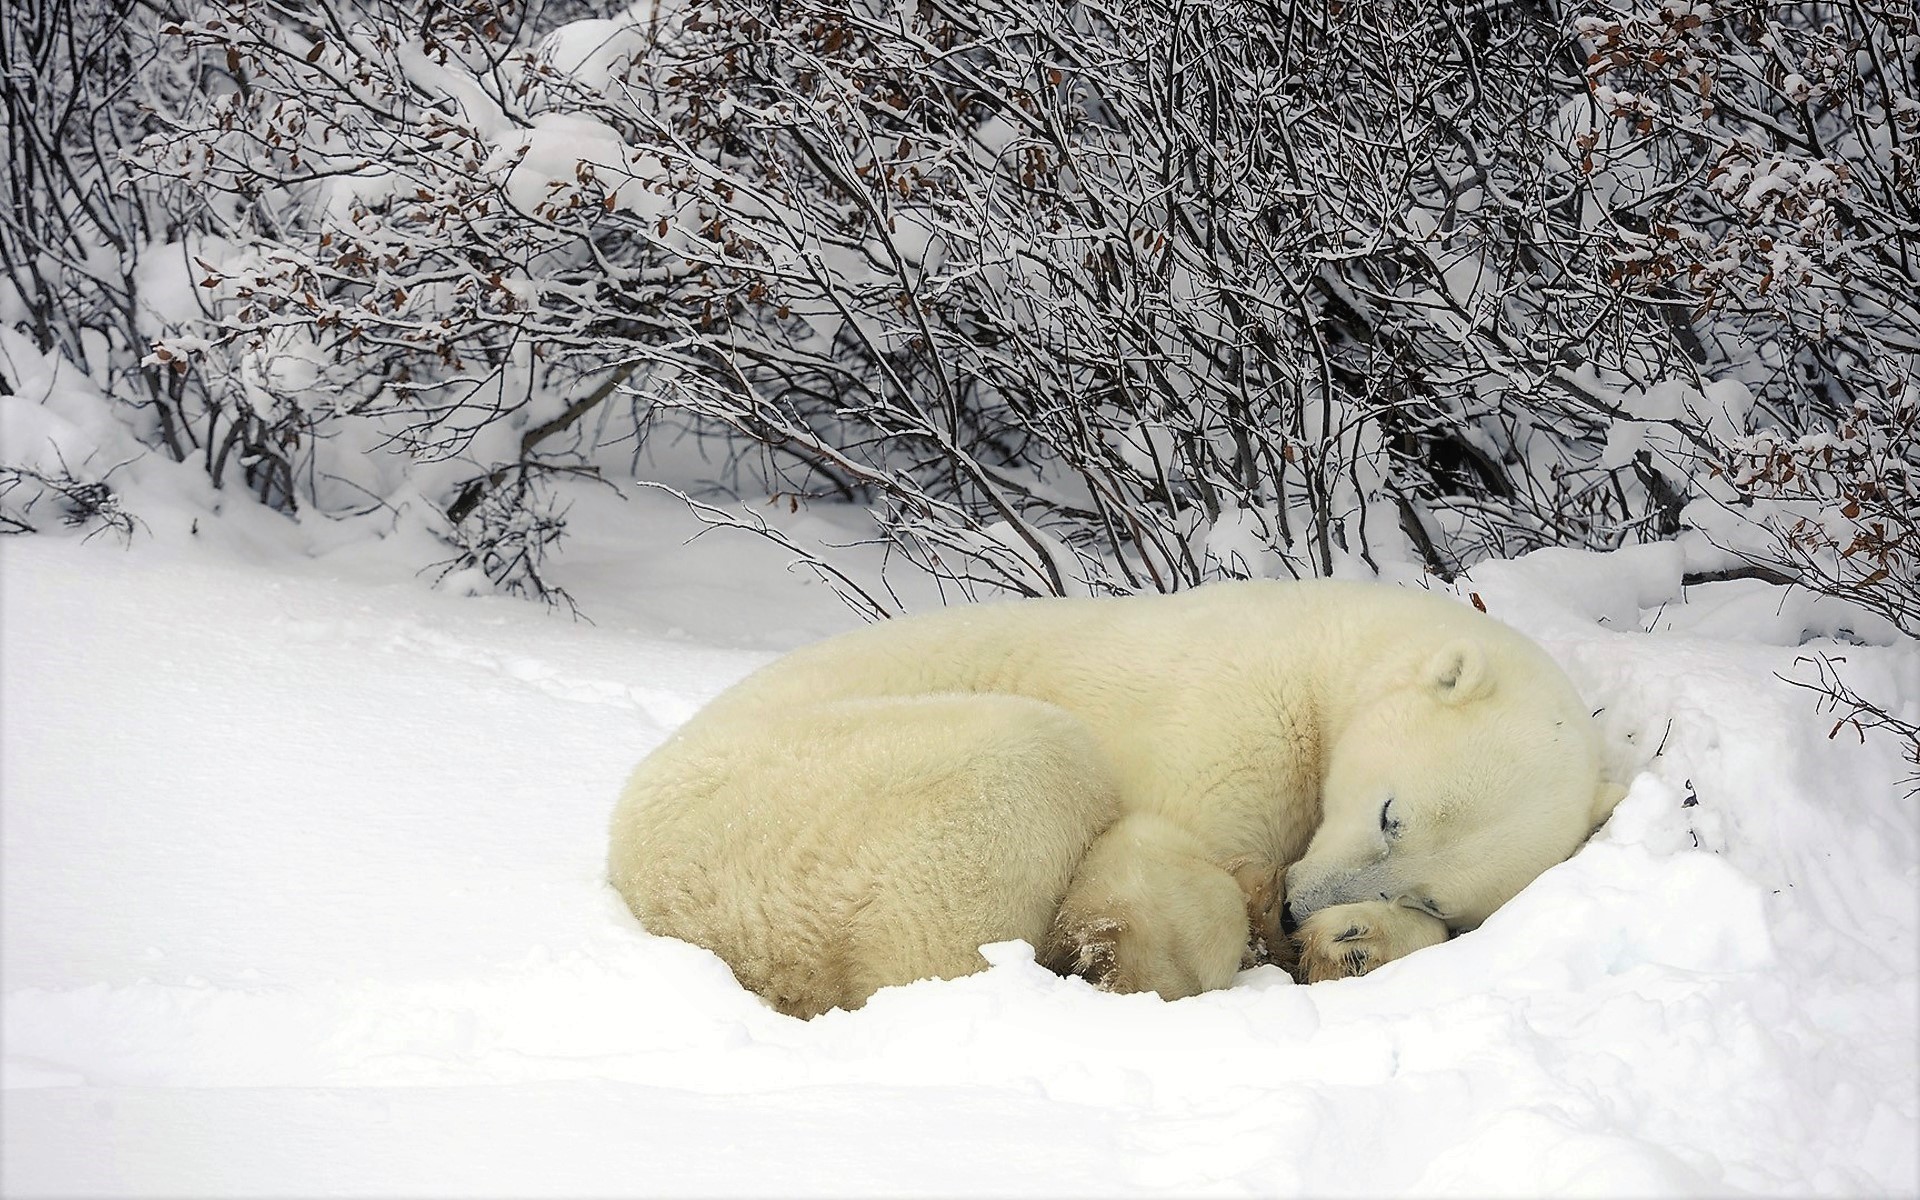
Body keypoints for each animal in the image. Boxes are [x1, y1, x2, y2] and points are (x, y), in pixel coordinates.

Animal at [602, 579, 1620, 1013]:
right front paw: (1161, 950)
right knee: (1022, 770)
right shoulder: (1231, 713)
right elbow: (1154, 856)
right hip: (791, 807)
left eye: (1432, 893)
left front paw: (1355, 943)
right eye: (1389, 812)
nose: (1299, 909)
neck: (1325, 649)